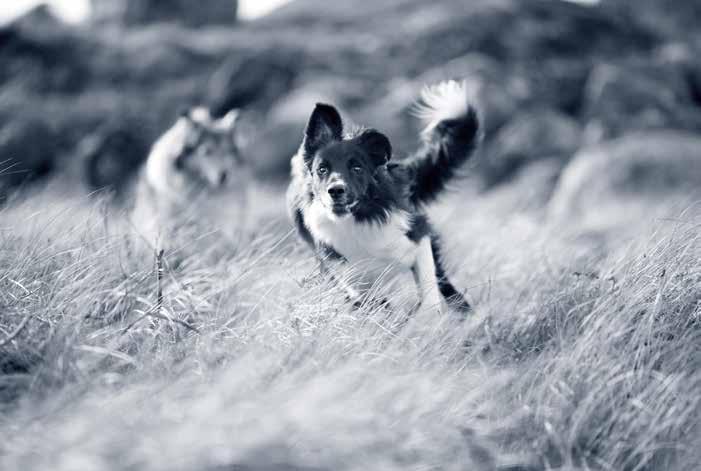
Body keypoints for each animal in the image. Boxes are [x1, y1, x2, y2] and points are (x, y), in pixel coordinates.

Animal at [286, 81, 482, 318]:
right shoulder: (350, 278)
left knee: (446, 287)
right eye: (322, 169)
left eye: (357, 168)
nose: (336, 190)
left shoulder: (417, 236)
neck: (358, 220)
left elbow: (429, 297)